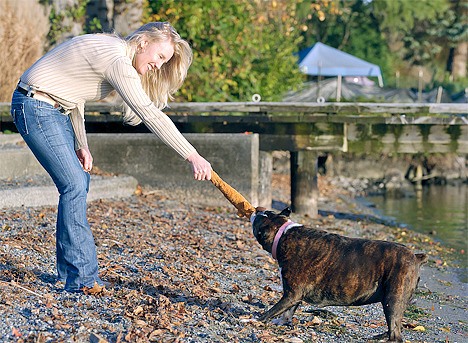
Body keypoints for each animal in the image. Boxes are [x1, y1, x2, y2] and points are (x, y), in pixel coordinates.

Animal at [252, 206, 428, 342]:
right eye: (266, 211)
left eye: (260, 217)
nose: (257, 209)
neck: (283, 234)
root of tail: (416, 257)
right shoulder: (294, 296)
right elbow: (287, 313)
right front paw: (280, 322)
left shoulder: (291, 295)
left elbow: (272, 311)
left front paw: (255, 320)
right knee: (394, 328)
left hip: (393, 301)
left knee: (395, 334)